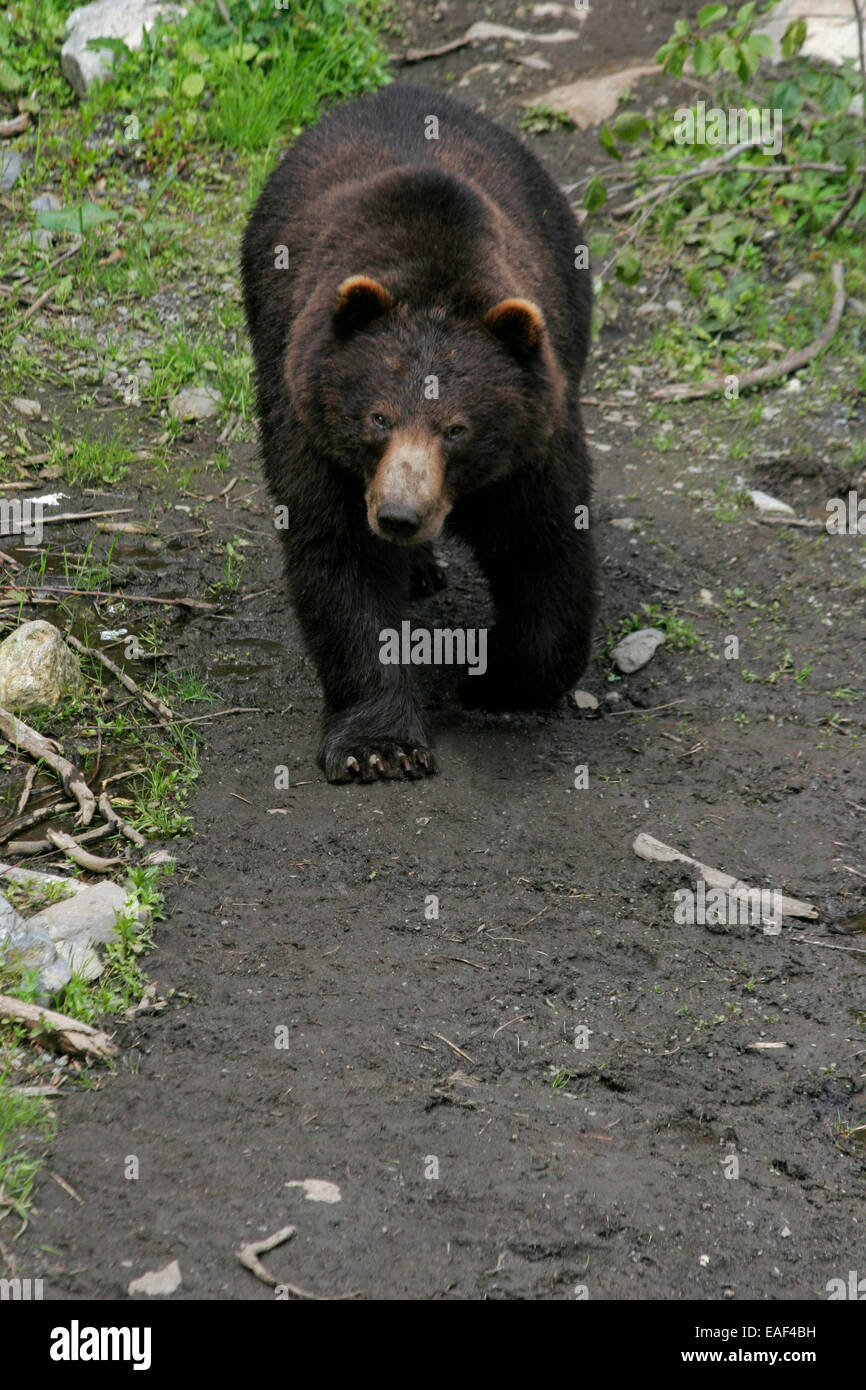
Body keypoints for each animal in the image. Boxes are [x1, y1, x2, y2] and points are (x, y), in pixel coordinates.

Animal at [241, 83, 596, 783]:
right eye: (378, 417)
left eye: (457, 428)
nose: (400, 515)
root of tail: (400, 88)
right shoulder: (317, 436)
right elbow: (341, 561)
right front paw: (378, 745)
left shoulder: (532, 445)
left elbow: (546, 549)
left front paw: (498, 680)